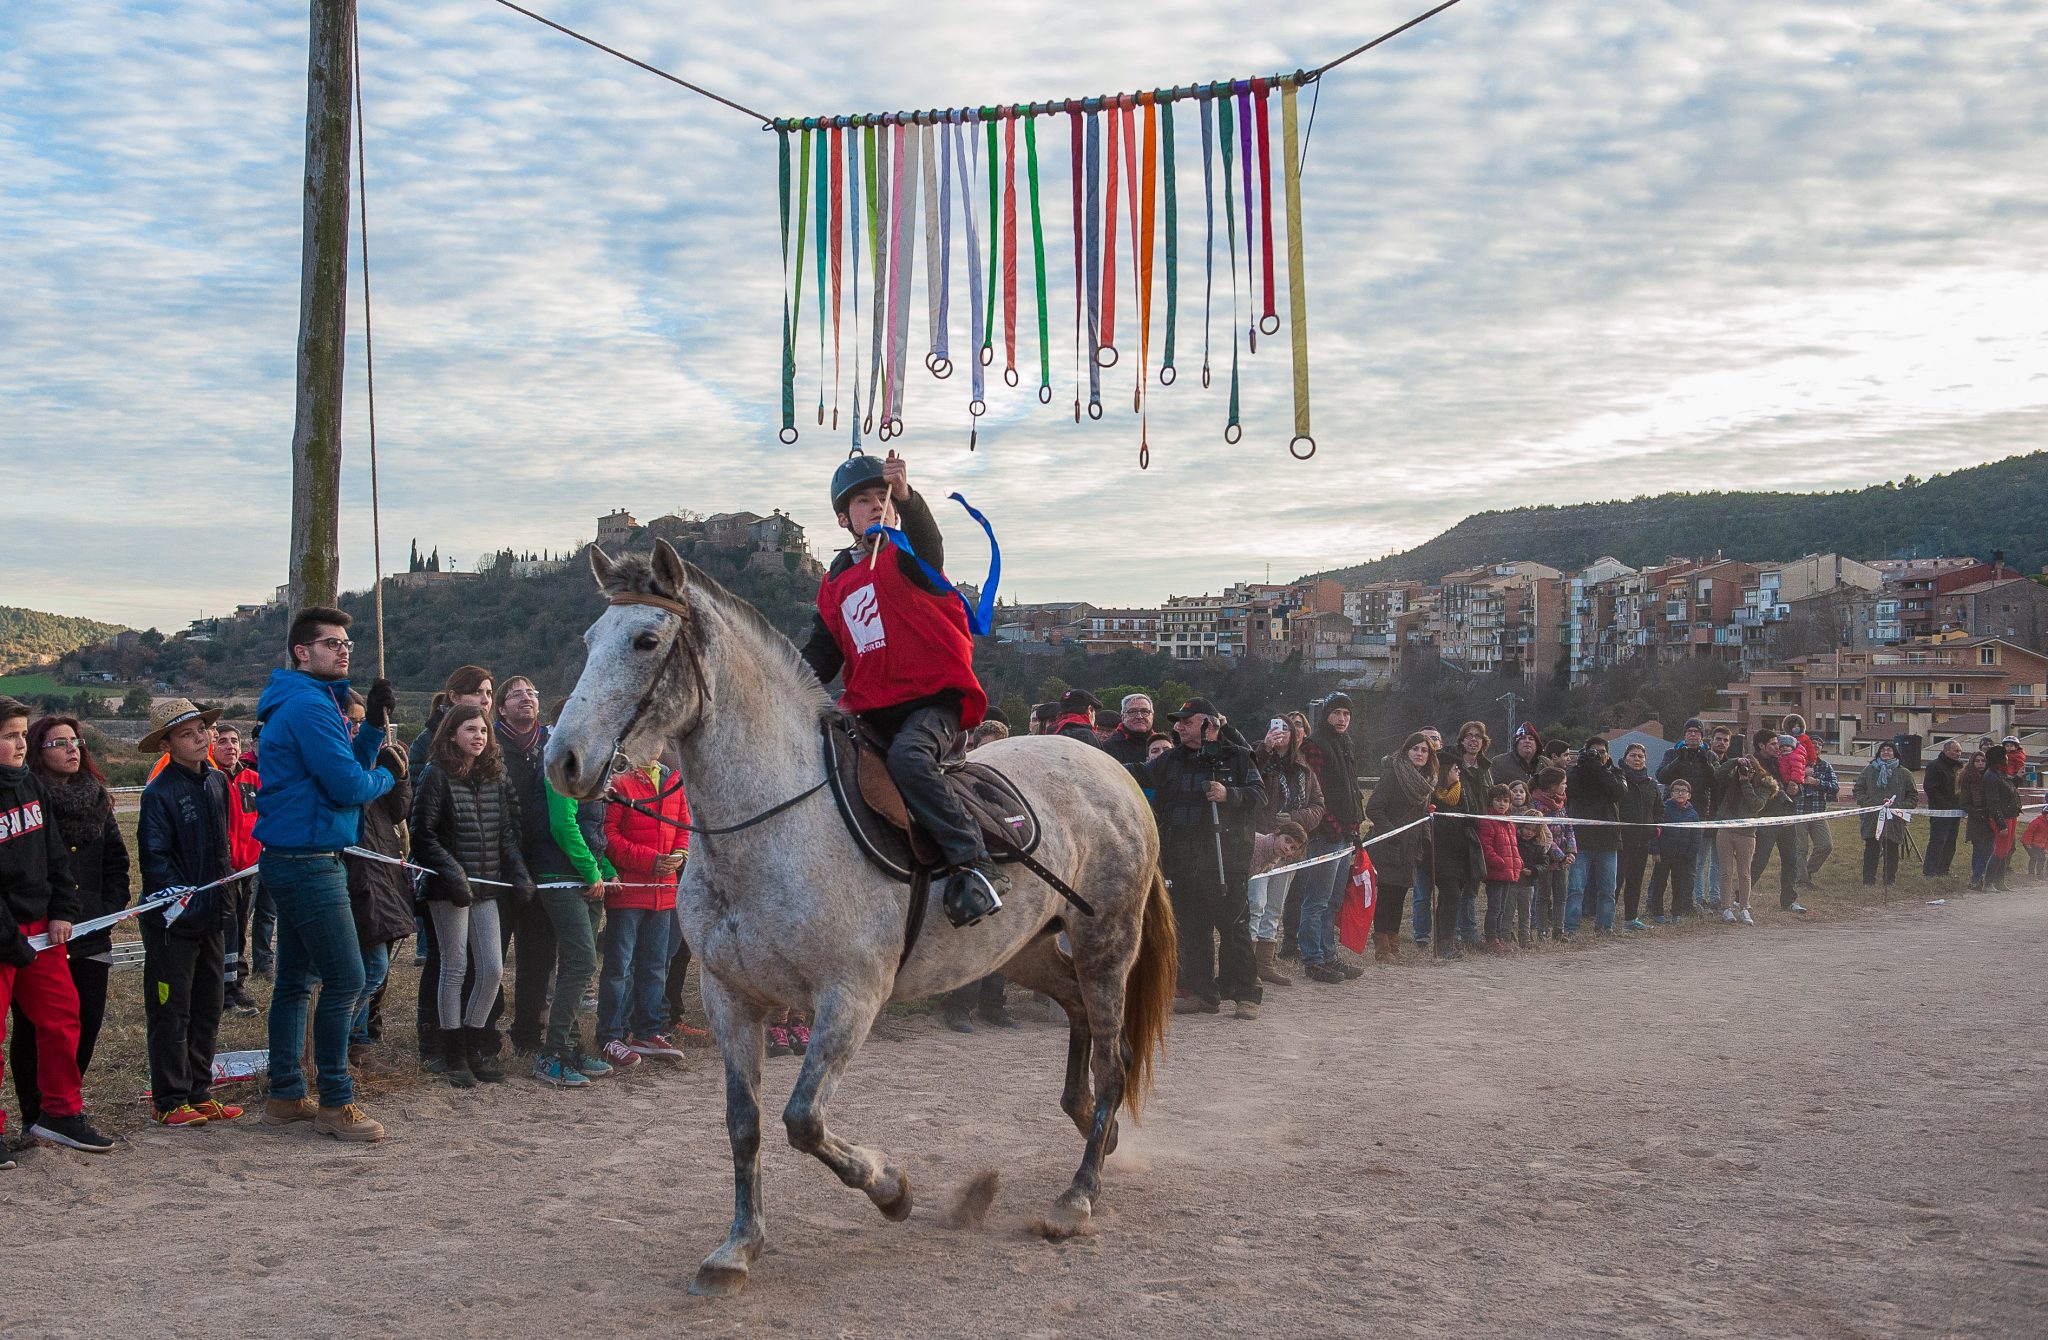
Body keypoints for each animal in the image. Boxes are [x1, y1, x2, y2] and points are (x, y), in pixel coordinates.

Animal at [548, 545, 1187, 1303]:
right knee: (1080, 1018)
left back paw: (1078, 1195)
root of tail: (1111, 767)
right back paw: (1092, 1124)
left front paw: (891, 1189)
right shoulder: (730, 997)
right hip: (1023, 951)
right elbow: (745, 1125)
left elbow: (802, 1120)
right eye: (590, 640)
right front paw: (739, 1246)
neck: (771, 824)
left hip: (1105, 943)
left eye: (646, 640)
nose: (562, 761)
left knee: (1114, 1059)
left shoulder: (849, 998)